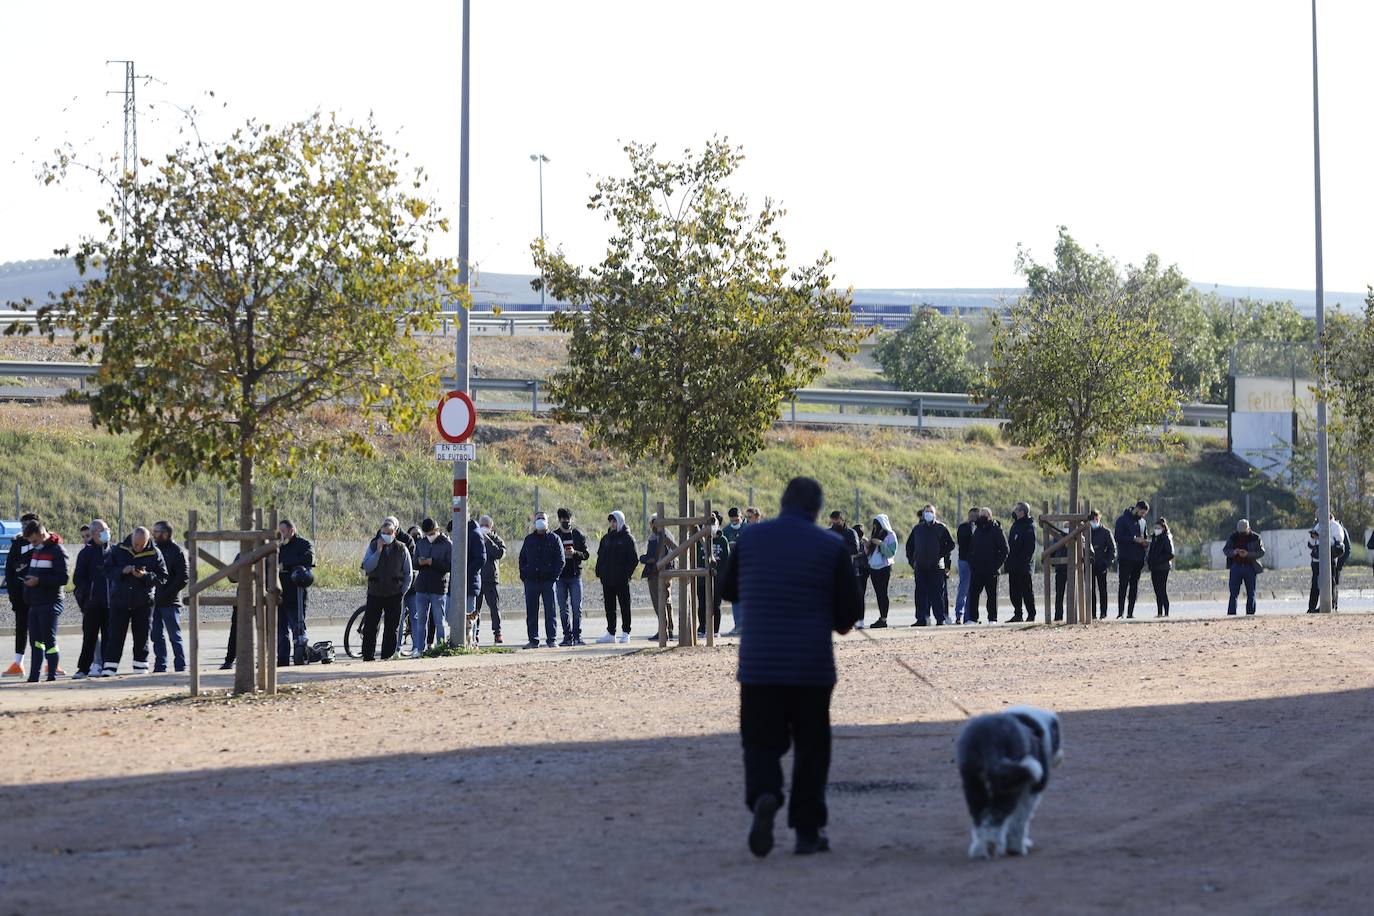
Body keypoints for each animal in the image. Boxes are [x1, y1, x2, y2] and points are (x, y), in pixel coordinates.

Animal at [956, 708, 1060, 862]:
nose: (1059, 758)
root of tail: (990, 740)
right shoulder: (1030, 793)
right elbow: (1019, 821)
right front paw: (1017, 847)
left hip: (973, 784)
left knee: (980, 819)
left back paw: (980, 850)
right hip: (1007, 787)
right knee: (997, 818)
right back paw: (993, 845)